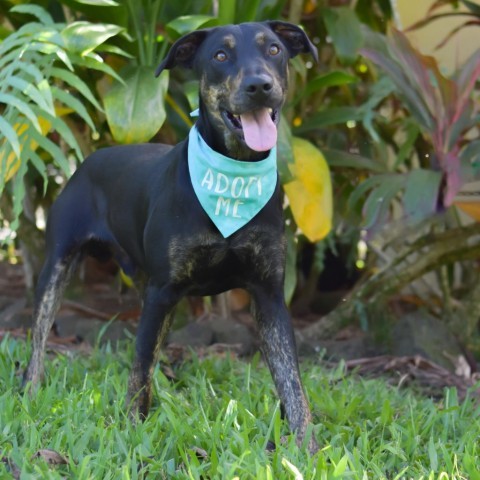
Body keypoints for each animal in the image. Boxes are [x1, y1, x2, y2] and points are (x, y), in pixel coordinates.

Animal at [25, 20, 318, 452]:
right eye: (220, 55)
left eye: (275, 49)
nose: (259, 85)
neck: (232, 173)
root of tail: (89, 160)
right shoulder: (162, 291)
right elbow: (139, 370)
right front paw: (132, 432)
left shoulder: (269, 295)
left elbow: (292, 383)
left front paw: (306, 448)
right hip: (57, 267)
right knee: (39, 340)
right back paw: (29, 391)